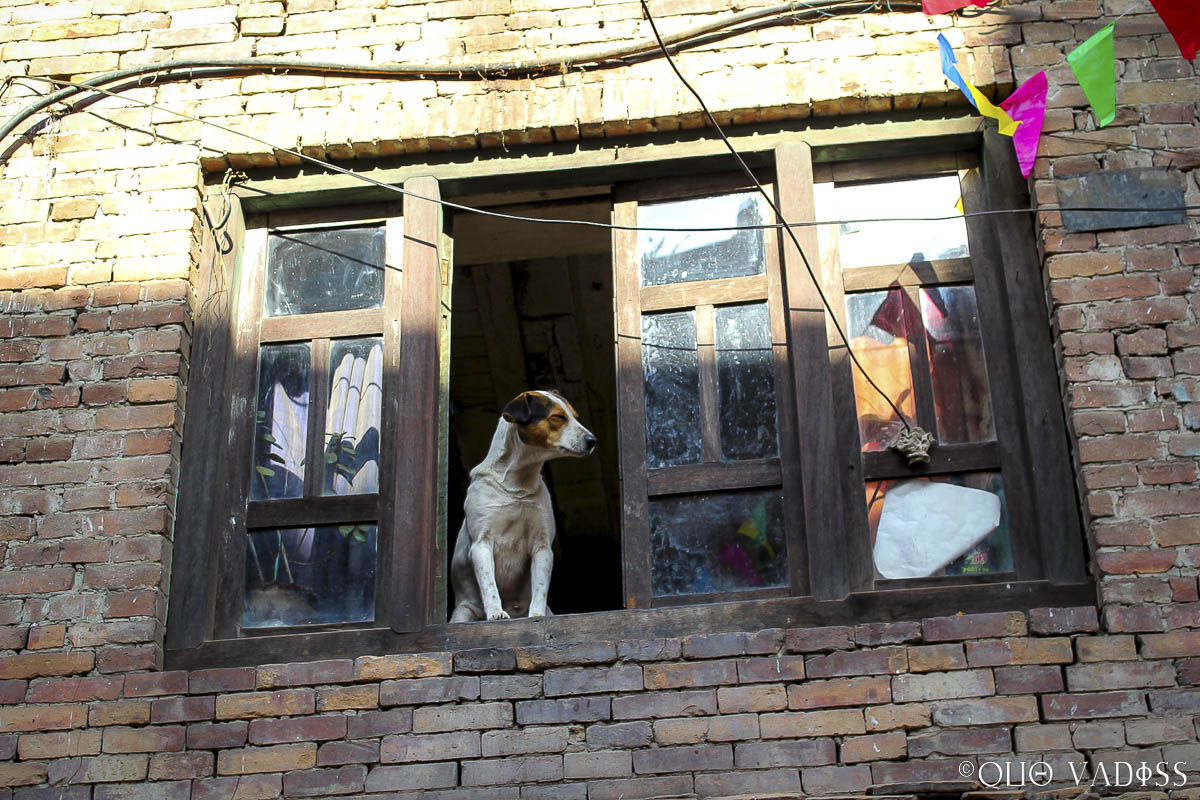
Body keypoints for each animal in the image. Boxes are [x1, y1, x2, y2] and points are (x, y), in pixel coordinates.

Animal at [449, 390, 597, 622]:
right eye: (558, 417)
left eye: (575, 416)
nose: (593, 440)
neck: (517, 484)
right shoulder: (481, 544)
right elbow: (489, 584)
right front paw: (495, 612)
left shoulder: (542, 546)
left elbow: (540, 588)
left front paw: (536, 615)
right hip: (462, 614)